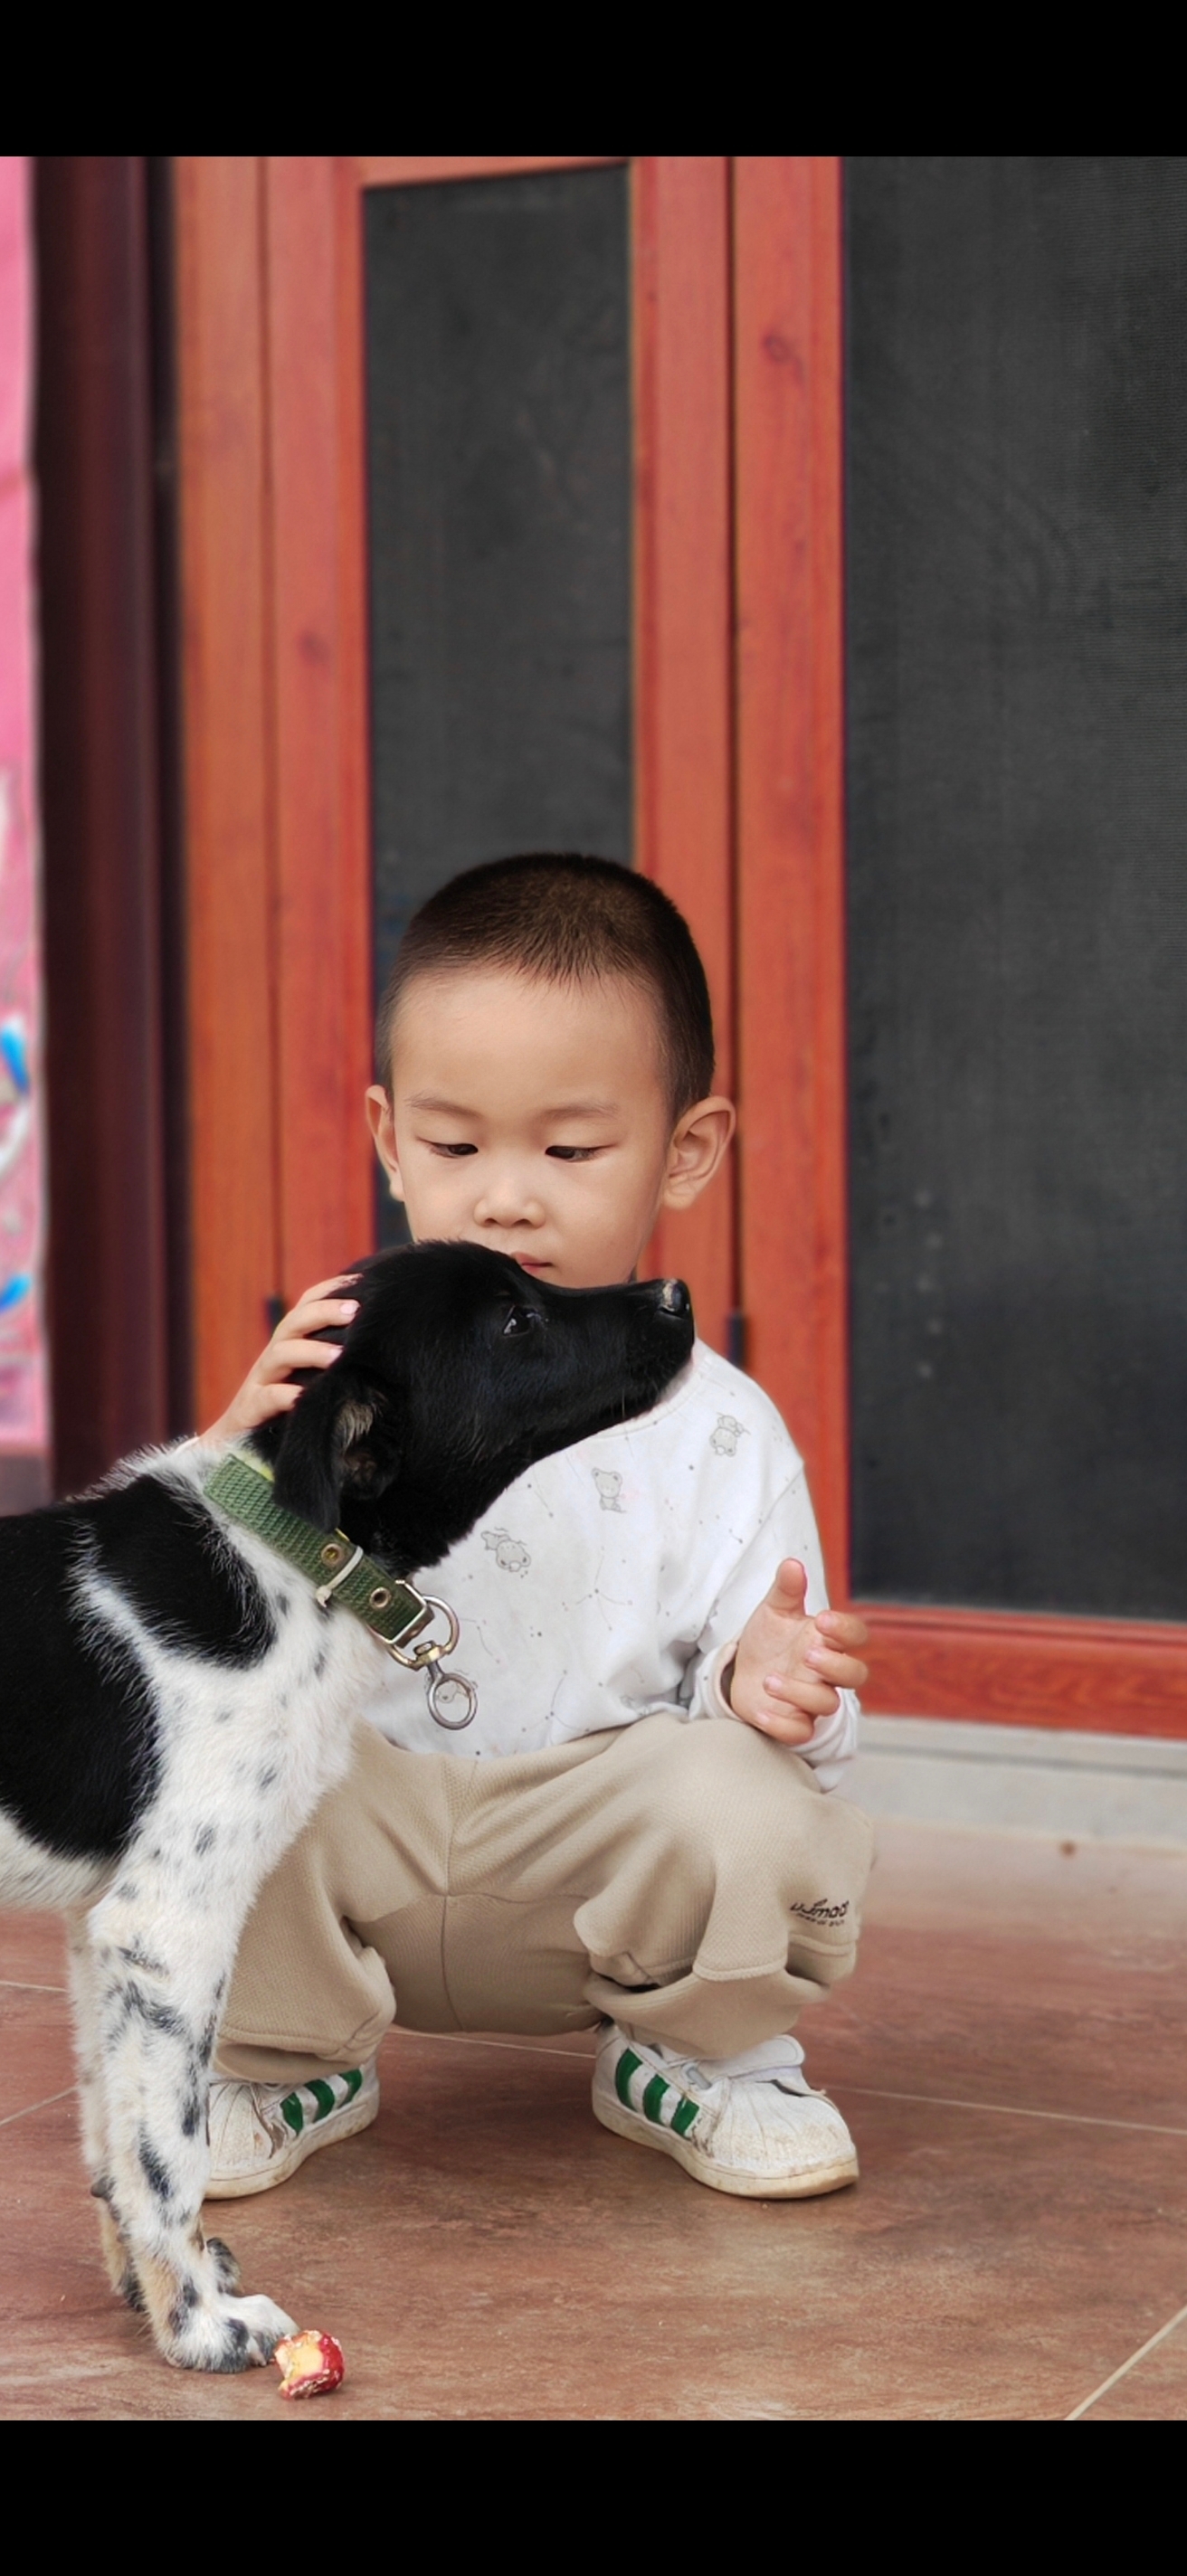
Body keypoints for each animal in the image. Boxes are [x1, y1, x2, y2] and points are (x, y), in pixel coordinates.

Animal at [0, 1246, 689, 2370]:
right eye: (515, 1321)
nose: (678, 1294)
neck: (291, 1551)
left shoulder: (100, 1927)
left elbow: (114, 2135)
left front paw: (143, 2292)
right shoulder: (167, 1928)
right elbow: (169, 2151)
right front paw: (200, 2327)